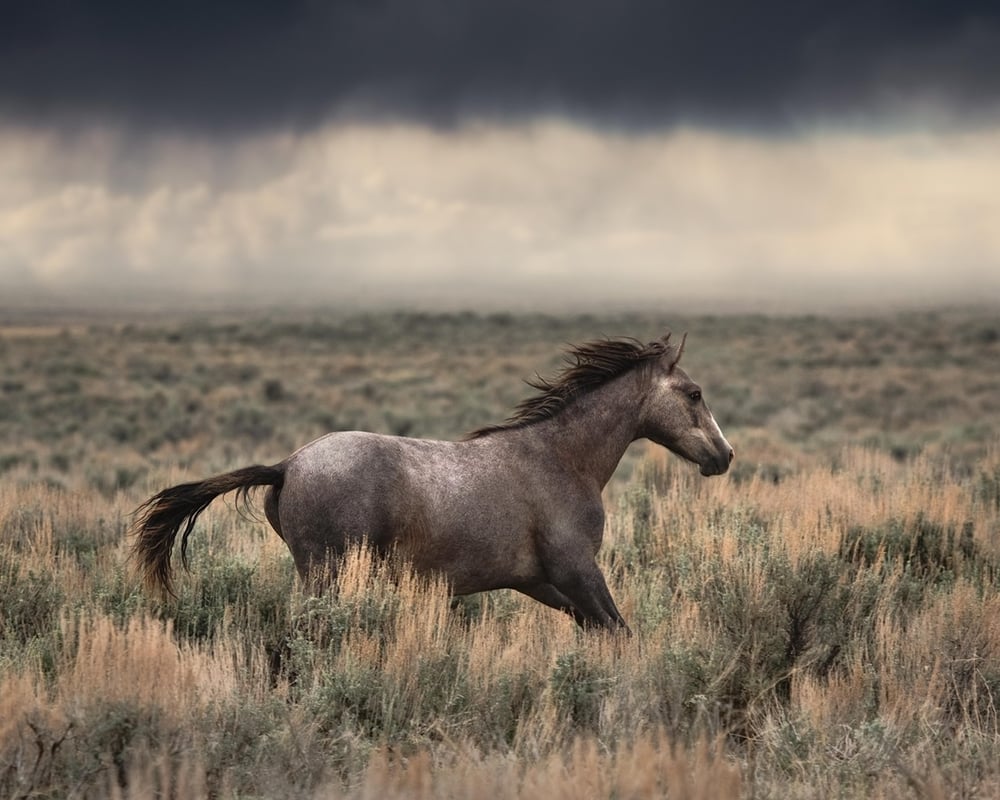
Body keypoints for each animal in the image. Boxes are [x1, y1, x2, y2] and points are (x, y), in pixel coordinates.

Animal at [131, 332, 736, 632]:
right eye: (695, 393)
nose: (725, 455)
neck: (562, 459)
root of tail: (288, 464)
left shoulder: (543, 583)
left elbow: (600, 631)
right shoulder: (578, 570)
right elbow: (620, 631)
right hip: (326, 573)